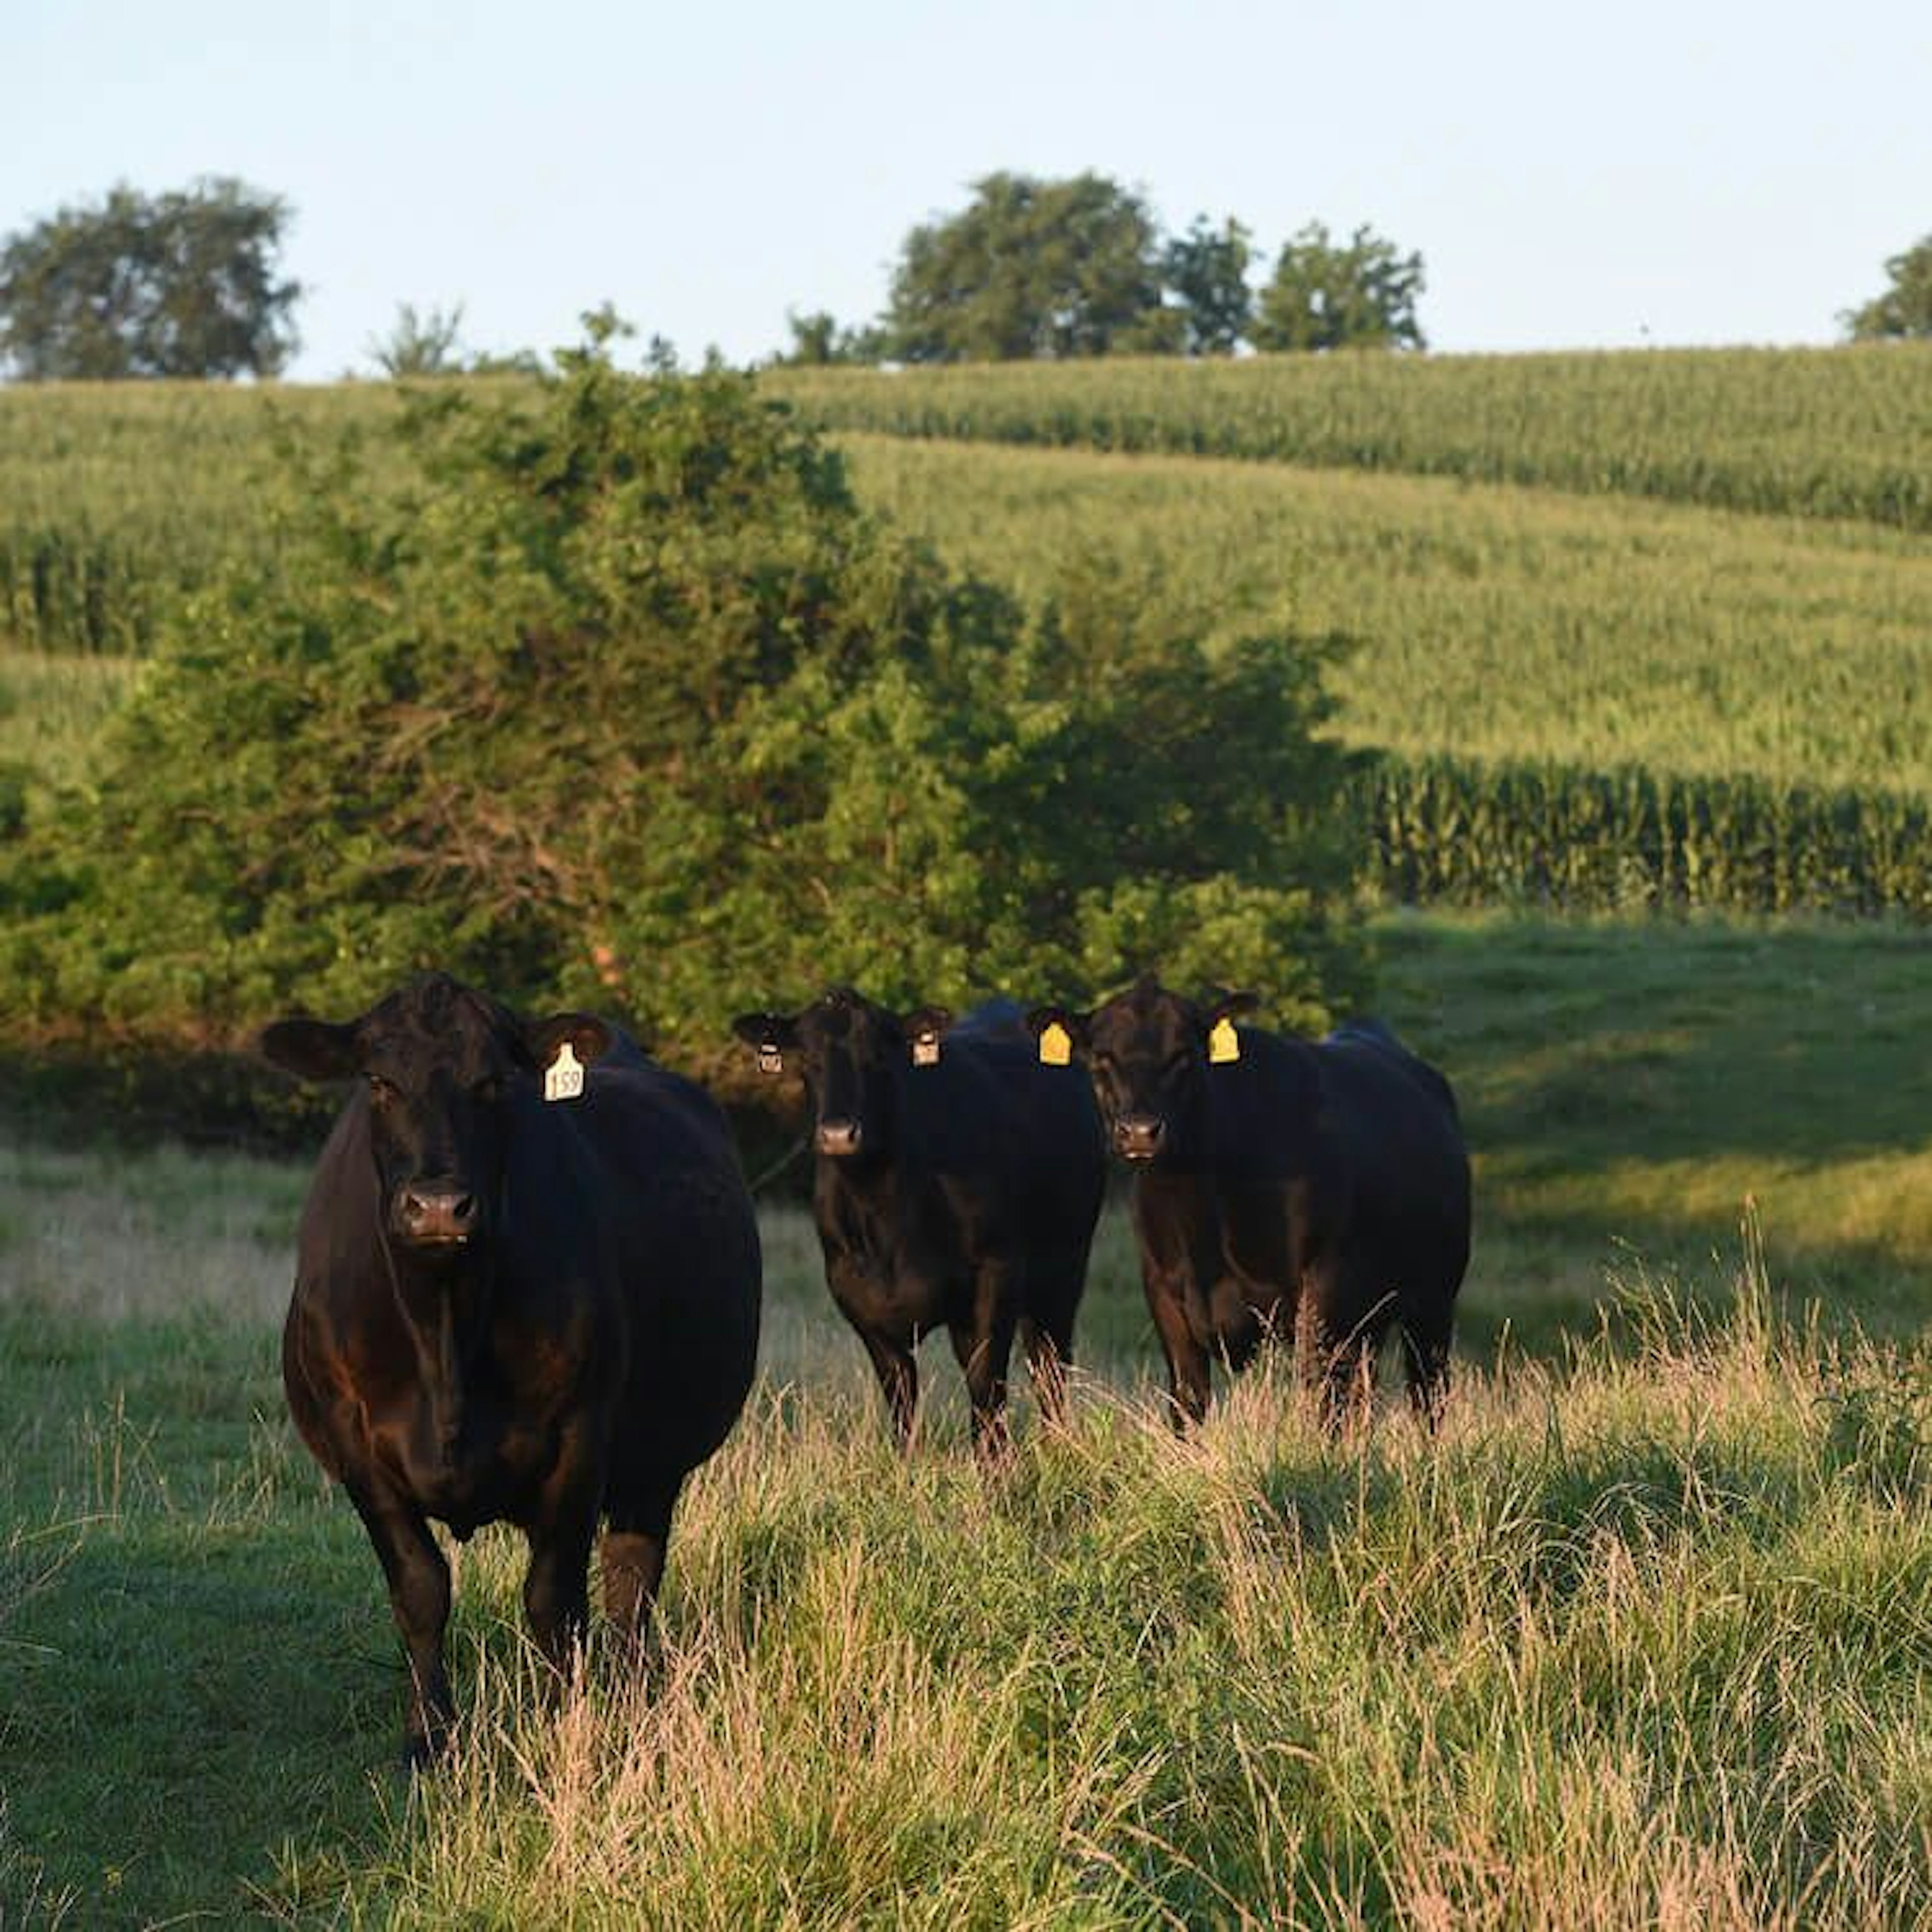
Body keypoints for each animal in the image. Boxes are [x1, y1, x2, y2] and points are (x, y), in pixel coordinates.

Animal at [261, 974, 757, 1762]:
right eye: (378, 1081)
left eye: (493, 1082)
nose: (438, 1207)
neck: (444, 1333)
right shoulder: (356, 1445)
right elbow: (420, 1588)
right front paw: (428, 1739)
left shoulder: (580, 1436)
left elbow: (554, 1599)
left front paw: (565, 1726)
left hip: (657, 1459)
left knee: (630, 1580)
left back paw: (630, 1698)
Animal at [730, 989, 1112, 1453]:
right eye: (806, 1058)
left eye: (878, 1056)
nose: (838, 1134)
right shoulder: (856, 1295)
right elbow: (902, 1396)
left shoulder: (997, 1270)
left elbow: (987, 1381)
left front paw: (997, 1466)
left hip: (1064, 1268)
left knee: (1049, 1363)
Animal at [1027, 974, 1461, 1429]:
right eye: (1102, 1058)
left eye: (1184, 1055)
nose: (1140, 1132)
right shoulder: (1165, 1297)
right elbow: (1188, 1405)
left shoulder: (1323, 1293)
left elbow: (1322, 1407)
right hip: (1372, 1322)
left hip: (1432, 1304)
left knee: (1427, 1399)